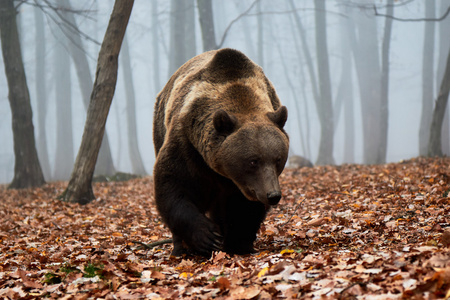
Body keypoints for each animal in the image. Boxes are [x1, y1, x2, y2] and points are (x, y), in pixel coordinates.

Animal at [153, 48, 290, 256]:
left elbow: (242, 208)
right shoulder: (187, 144)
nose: (273, 195)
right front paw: (208, 237)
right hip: (159, 127)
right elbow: (175, 185)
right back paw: (179, 249)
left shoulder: (244, 185)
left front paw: (238, 244)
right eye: (253, 160)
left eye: (278, 159)